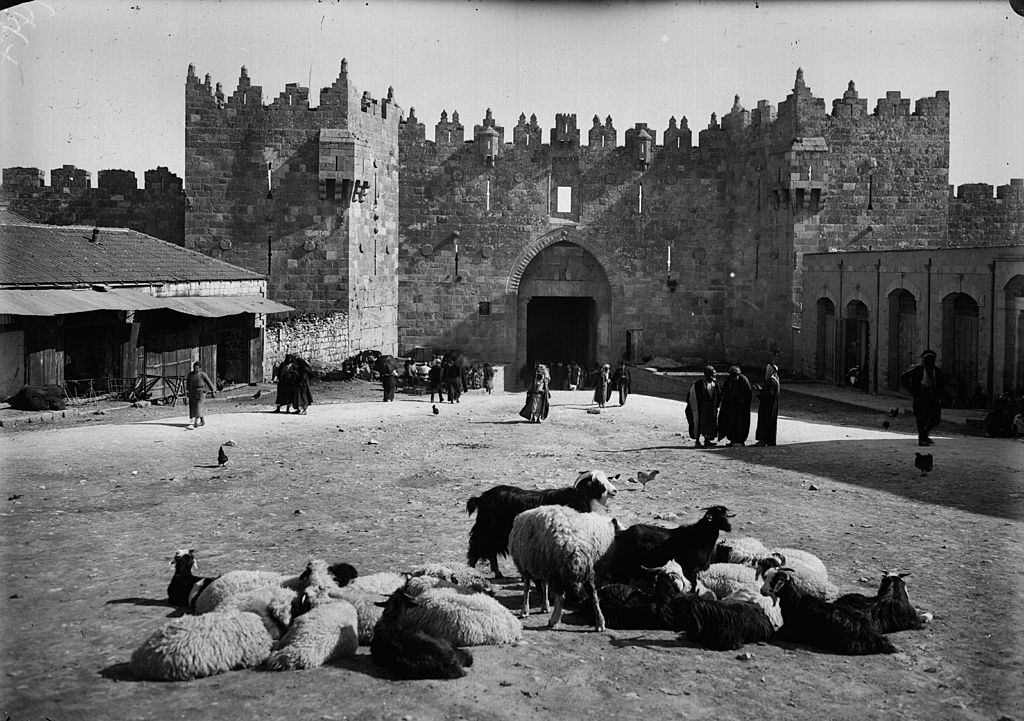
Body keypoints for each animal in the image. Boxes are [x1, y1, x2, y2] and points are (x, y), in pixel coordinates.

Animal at [468, 471, 618, 577]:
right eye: (597, 483)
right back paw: (472, 570)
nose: (614, 491)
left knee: (490, 550)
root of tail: (481, 497)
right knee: (477, 547)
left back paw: (497, 573)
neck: (579, 496)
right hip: (486, 529)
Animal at [505, 501, 614, 630]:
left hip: (557, 569)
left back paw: (554, 620)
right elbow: (544, 585)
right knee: (593, 594)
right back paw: (600, 622)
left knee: (561, 597)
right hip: (586, 569)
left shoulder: (524, 566)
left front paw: (524, 610)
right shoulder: (543, 566)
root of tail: (575, 545)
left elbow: (527, 588)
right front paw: (545, 606)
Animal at [598, 503, 737, 594]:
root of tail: (623, 532)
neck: (698, 538)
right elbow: (693, 586)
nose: (730, 527)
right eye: (716, 517)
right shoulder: (691, 570)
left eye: (726, 515)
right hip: (624, 564)